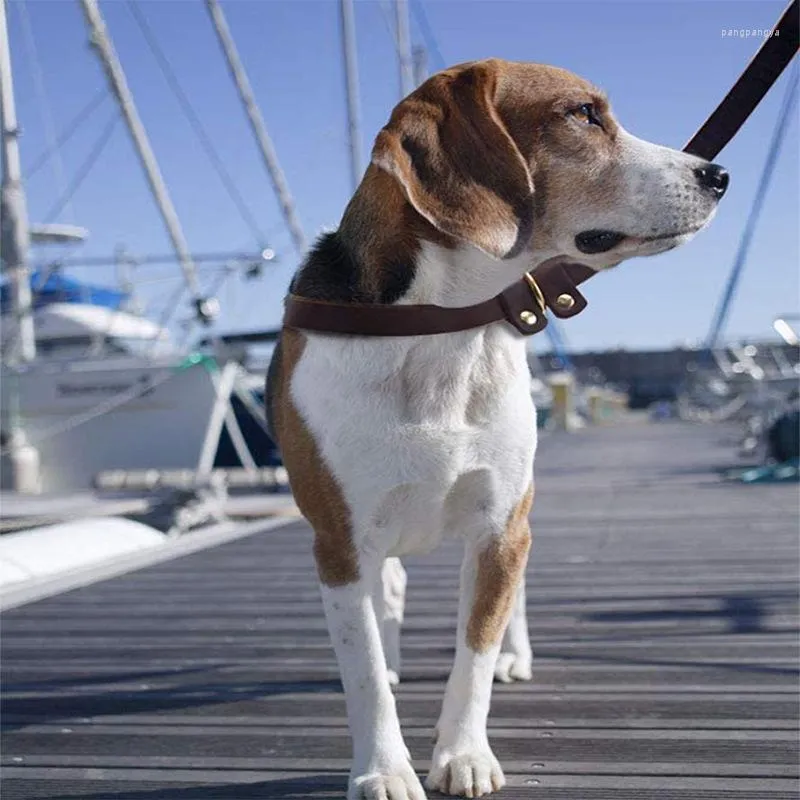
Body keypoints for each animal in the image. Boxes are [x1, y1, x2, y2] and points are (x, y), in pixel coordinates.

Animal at [266, 59, 728, 796]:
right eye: (583, 114)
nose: (717, 174)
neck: (439, 329)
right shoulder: (339, 544)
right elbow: (362, 672)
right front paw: (384, 769)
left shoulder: (499, 528)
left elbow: (474, 657)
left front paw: (464, 755)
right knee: (387, 598)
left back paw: (516, 655)